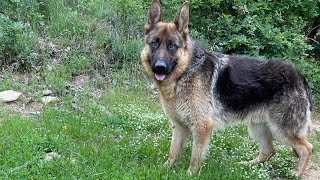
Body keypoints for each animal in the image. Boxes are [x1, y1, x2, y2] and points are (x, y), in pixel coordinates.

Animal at [140, 0, 312, 175]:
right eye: (154, 43)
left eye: (172, 46)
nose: (159, 67)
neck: (185, 71)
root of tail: (299, 75)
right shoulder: (179, 127)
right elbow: (173, 151)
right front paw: (165, 168)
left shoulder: (202, 127)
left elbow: (195, 156)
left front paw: (189, 175)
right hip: (258, 128)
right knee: (269, 150)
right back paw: (247, 165)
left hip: (282, 130)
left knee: (306, 148)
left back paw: (297, 172)